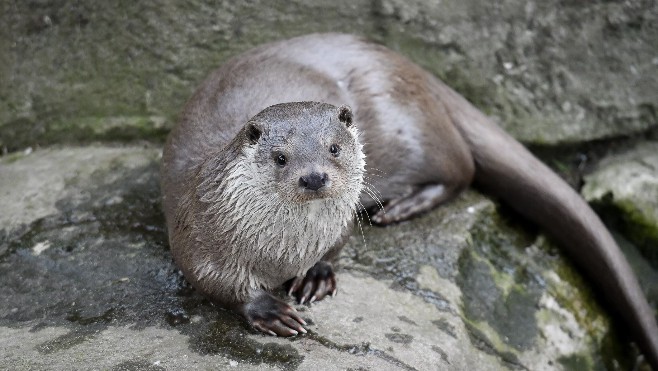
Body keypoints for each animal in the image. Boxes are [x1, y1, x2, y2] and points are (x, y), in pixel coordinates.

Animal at [160, 32, 656, 366]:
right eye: (281, 157)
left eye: (334, 148)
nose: (314, 177)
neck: (284, 250)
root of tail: (409, 66)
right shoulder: (198, 232)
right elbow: (216, 283)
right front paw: (269, 309)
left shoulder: (336, 226)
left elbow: (335, 248)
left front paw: (317, 274)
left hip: (409, 126)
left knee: (462, 168)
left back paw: (401, 207)